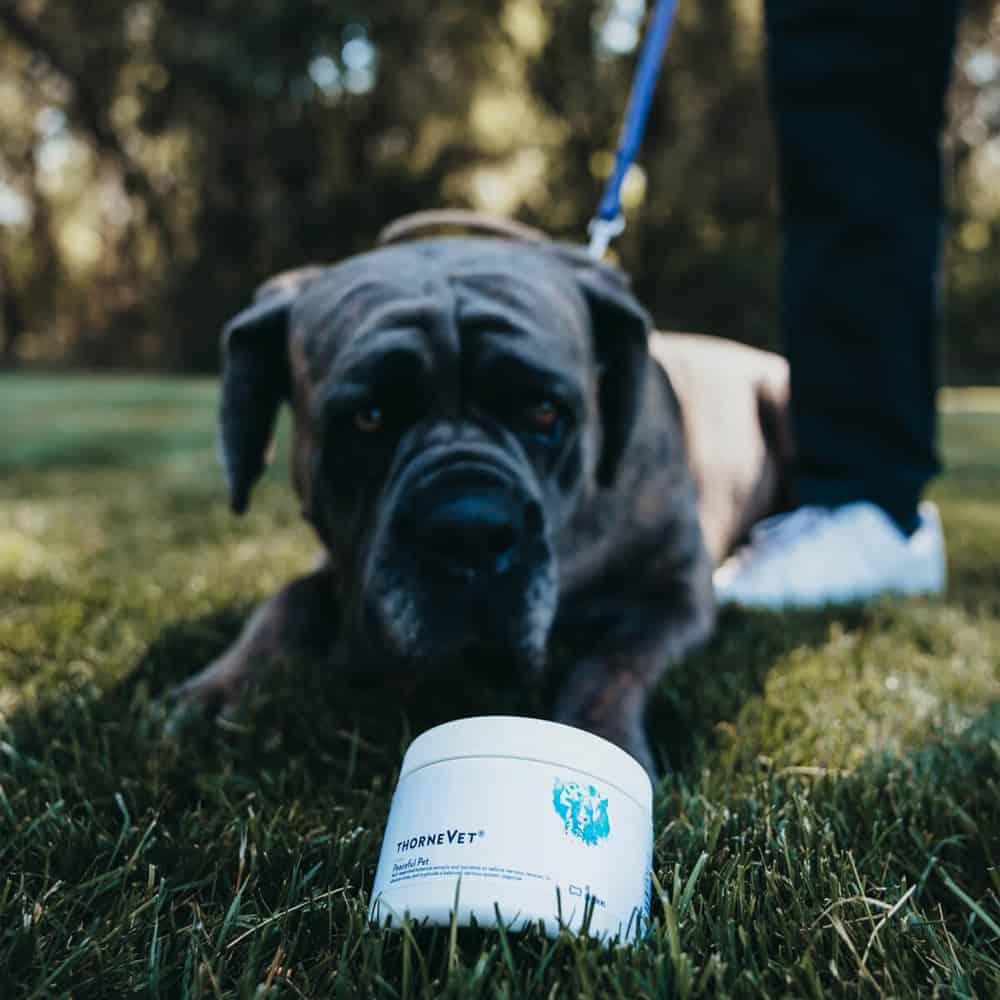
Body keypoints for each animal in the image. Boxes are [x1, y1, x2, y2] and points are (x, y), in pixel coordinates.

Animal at [170, 212, 792, 775]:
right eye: (369, 418)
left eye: (544, 411)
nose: (470, 531)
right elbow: (286, 599)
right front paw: (218, 689)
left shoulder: (675, 591)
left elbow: (613, 661)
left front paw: (598, 734)